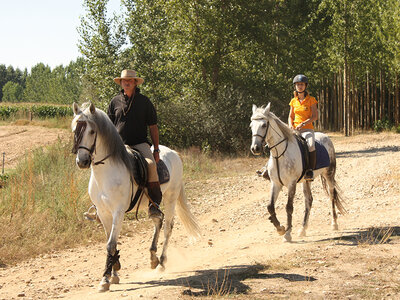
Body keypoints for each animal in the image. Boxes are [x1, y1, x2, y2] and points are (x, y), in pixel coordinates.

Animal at [71, 102, 200, 292]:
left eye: (92, 131)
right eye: (74, 129)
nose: (82, 161)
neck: (106, 173)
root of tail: (174, 153)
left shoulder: (118, 212)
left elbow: (111, 244)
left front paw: (105, 279)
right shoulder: (103, 213)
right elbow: (111, 242)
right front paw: (114, 272)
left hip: (170, 197)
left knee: (168, 227)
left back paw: (161, 263)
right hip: (152, 203)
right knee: (157, 220)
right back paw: (153, 258)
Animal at [250, 103, 344, 241]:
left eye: (263, 125)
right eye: (251, 125)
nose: (255, 148)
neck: (280, 154)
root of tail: (326, 137)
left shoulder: (291, 183)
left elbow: (289, 207)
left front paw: (287, 234)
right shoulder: (275, 183)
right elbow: (270, 206)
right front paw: (280, 228)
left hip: (329, 175)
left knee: (332, 196)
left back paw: (334, 224)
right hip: (306, 180)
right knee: (309, 200)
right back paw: (303, 229)